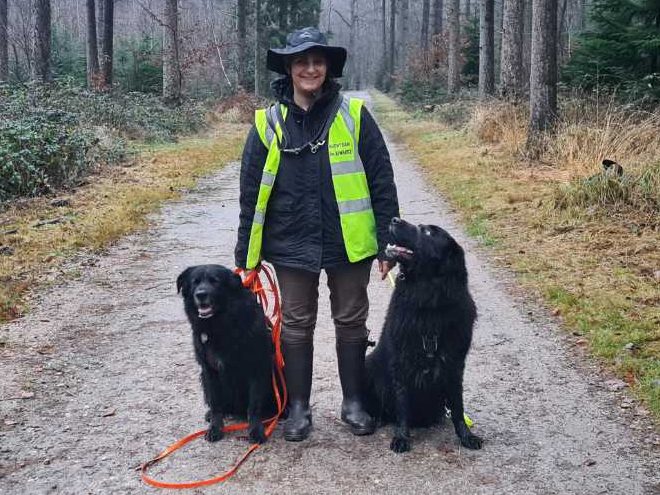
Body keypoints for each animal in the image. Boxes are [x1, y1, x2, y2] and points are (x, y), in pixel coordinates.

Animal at [175, 266, 274, 448]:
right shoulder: (209, 371)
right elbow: (215, 404)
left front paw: (256, 430)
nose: (201, 294)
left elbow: (254, 405)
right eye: (195, 282)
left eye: (215, 281)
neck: (221, 326)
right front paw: (215, 428)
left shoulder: (257, 369)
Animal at [364, 219, 482, 456]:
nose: (394, 219)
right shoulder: (401, 364)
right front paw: (401, 437)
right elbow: (402, 405)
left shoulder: (454, 366)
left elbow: (458, 407)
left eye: (428, 232)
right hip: (368, 365)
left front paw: (466, 435)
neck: (428, 301)